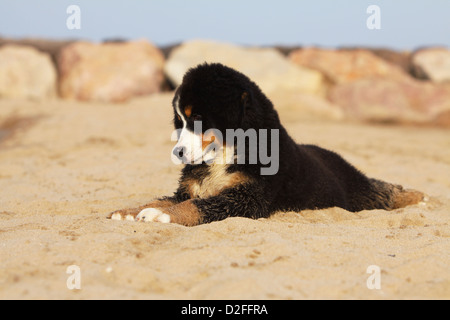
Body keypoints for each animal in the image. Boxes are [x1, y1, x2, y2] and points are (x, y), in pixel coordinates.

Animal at [107, 62, 424, 226]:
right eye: (180, 121)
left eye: (197, 117)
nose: (178, 152)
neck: (228, 152)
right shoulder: (188, 189)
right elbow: (168, 198)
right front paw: (132, 210)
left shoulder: (249, 198)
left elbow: (199, 205)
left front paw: (162, 215)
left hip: (356, 190)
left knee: (382, 191)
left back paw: (417, 196)